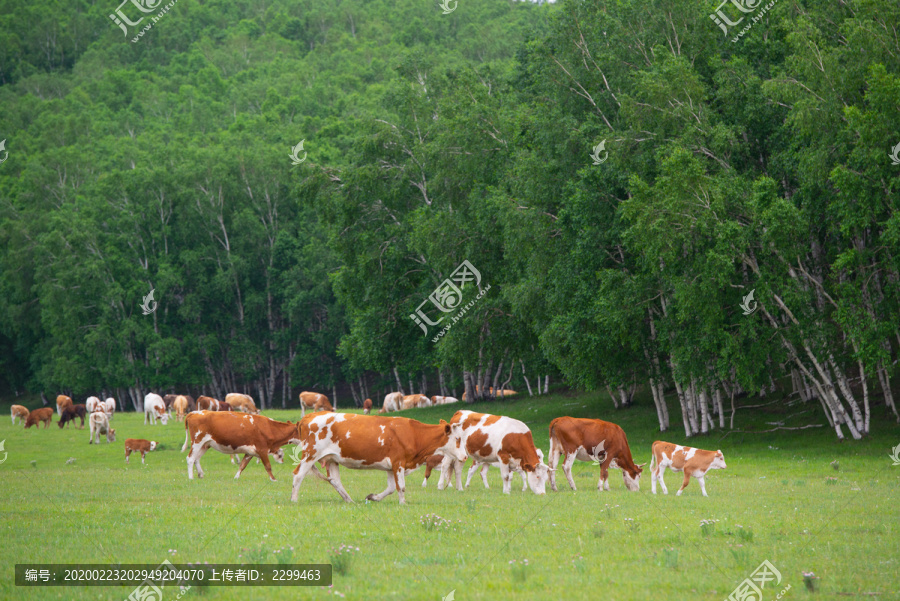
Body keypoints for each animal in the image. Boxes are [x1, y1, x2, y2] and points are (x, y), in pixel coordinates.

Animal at [292, 410, 468, 504]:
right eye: (457, 438)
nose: (466, 457)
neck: (414, 434)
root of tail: (310, 416)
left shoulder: (391, 467)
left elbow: (391, 488)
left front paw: (373, 497)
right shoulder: (398, 462)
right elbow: (401, 487)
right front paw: (403, 503)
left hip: (332, 459)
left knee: (335, 481)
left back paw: (349, 500)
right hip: (310, 454)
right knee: (298, 475)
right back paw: (294, 499)